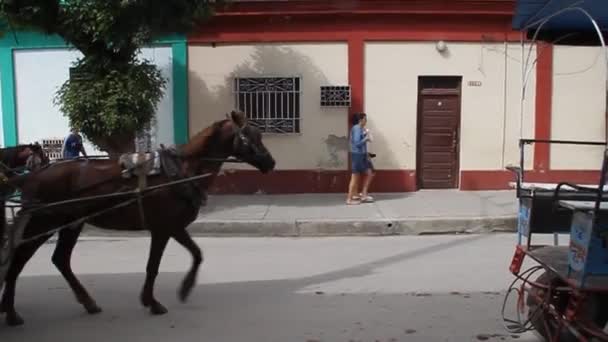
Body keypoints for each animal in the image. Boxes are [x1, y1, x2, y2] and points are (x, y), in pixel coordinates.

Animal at [0, 112, 276, 326]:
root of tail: (32, 176)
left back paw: (87, 302)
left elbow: (196, 254)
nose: (271, 162)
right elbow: (154, 266)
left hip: (71, 223)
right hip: (43, 222)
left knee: (60, 259)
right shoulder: (164, 228)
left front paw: (181, 289)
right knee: (18, 260)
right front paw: (157, 300)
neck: (182, 171)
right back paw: (11, 312)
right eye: (249, 137)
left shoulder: (174, 227)